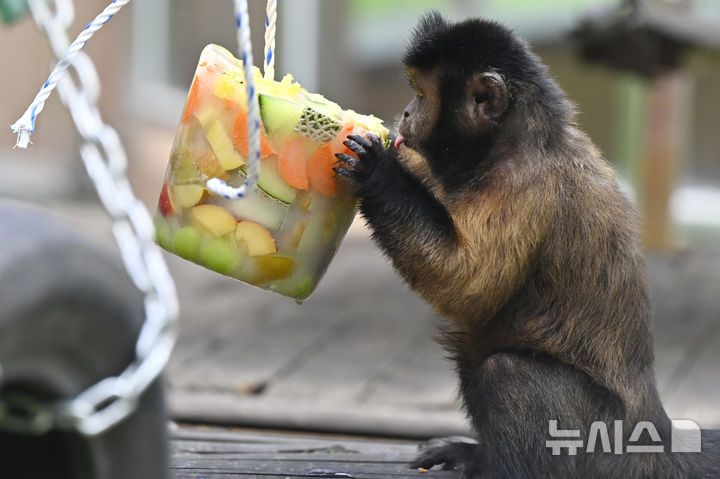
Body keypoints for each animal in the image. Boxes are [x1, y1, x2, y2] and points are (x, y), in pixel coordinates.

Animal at [334, 11, 720, 479]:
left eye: (422, 96)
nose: (406, 112)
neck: (520, 138)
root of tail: (655, 435)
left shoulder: (522, 182)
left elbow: (468, 284)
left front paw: (378, 171)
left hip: (598, 443)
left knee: (506, 370)